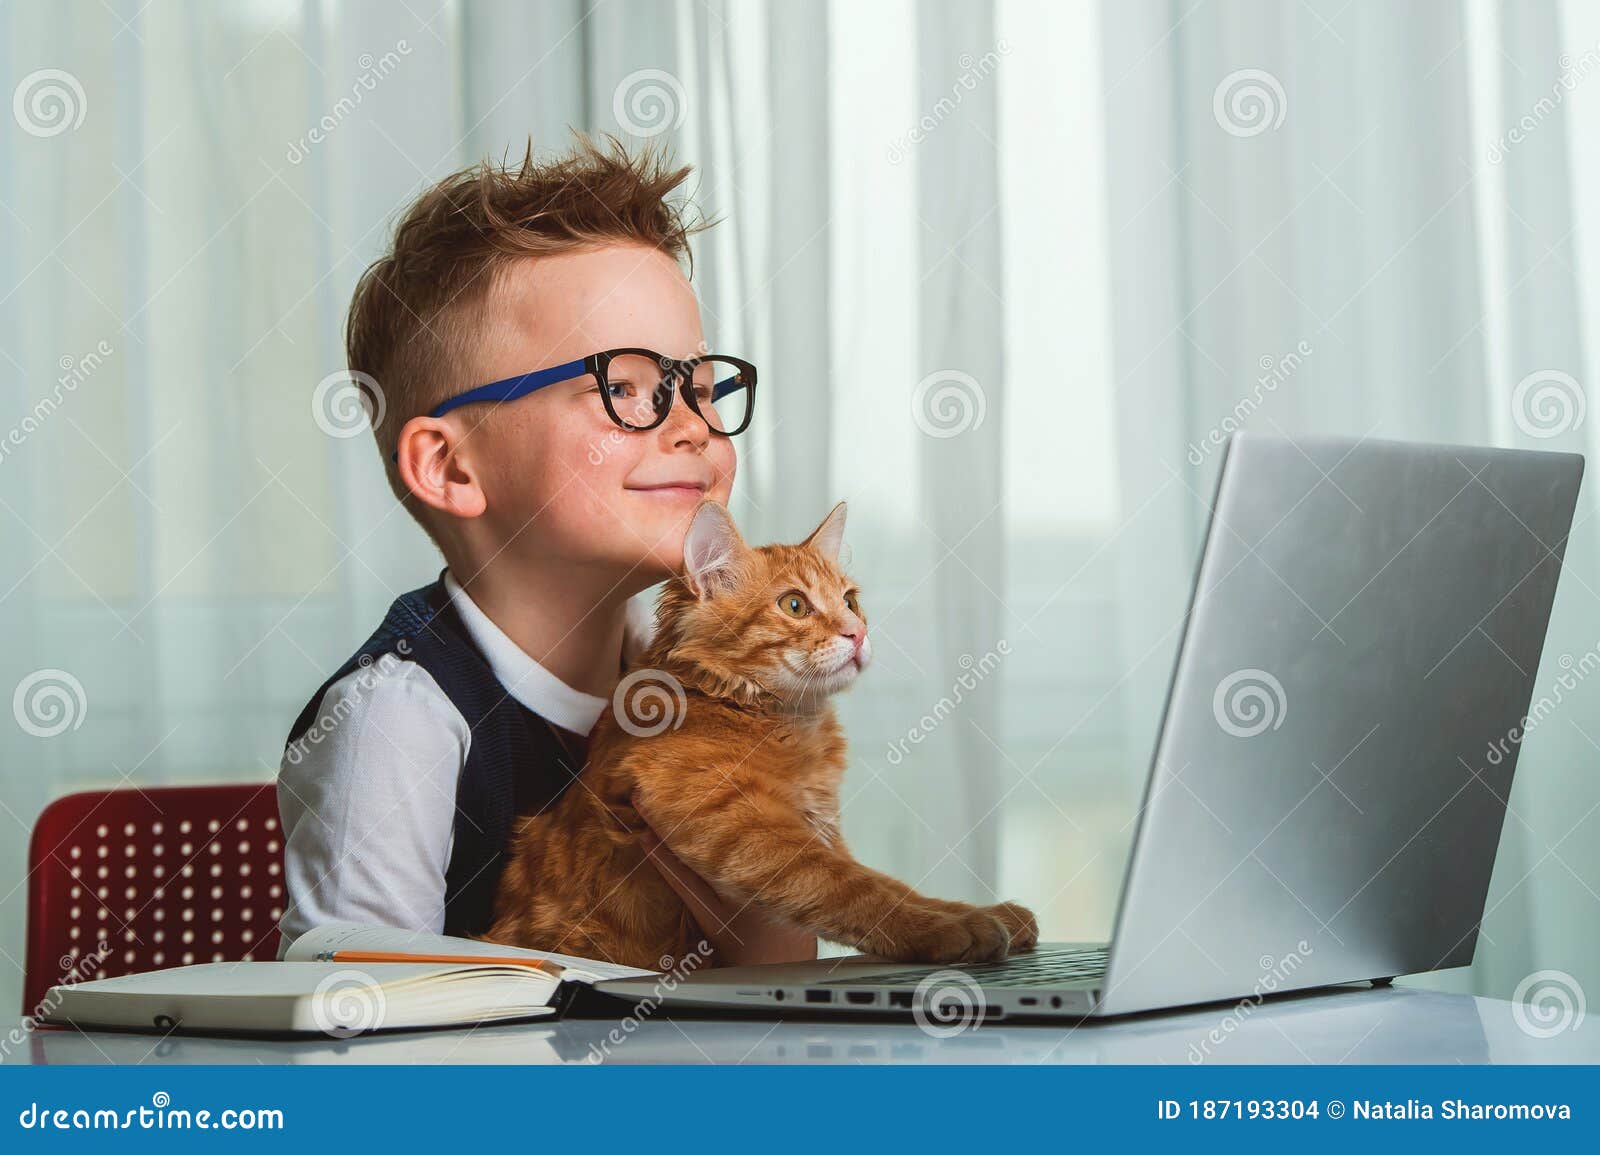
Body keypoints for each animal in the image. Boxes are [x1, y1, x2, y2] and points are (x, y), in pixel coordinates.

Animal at [486, 499, 1036, 966]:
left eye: (850, 601)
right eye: (794, 605)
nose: (858, 634)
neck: (775, 716)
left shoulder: (819, 827)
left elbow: (894, 884)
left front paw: (976, 912)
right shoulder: (736, 820)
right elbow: (854, 888)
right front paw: (944, 929)